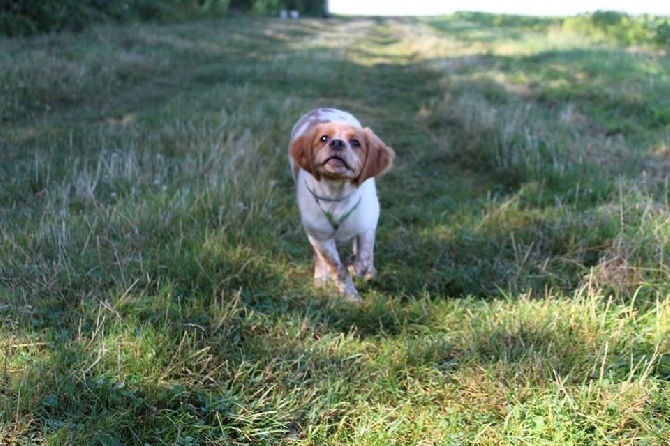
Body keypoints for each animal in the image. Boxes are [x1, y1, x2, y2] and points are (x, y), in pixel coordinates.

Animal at [290, 108, 396, 304]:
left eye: (355, 142)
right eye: (324, 138)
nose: (337, 143)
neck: (336, 194)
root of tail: (322, 108)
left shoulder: (367, 225)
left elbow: (364, 259)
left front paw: (361, 269)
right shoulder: (320, 236)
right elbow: (336, 268)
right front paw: (351, 297)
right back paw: (320, 278)